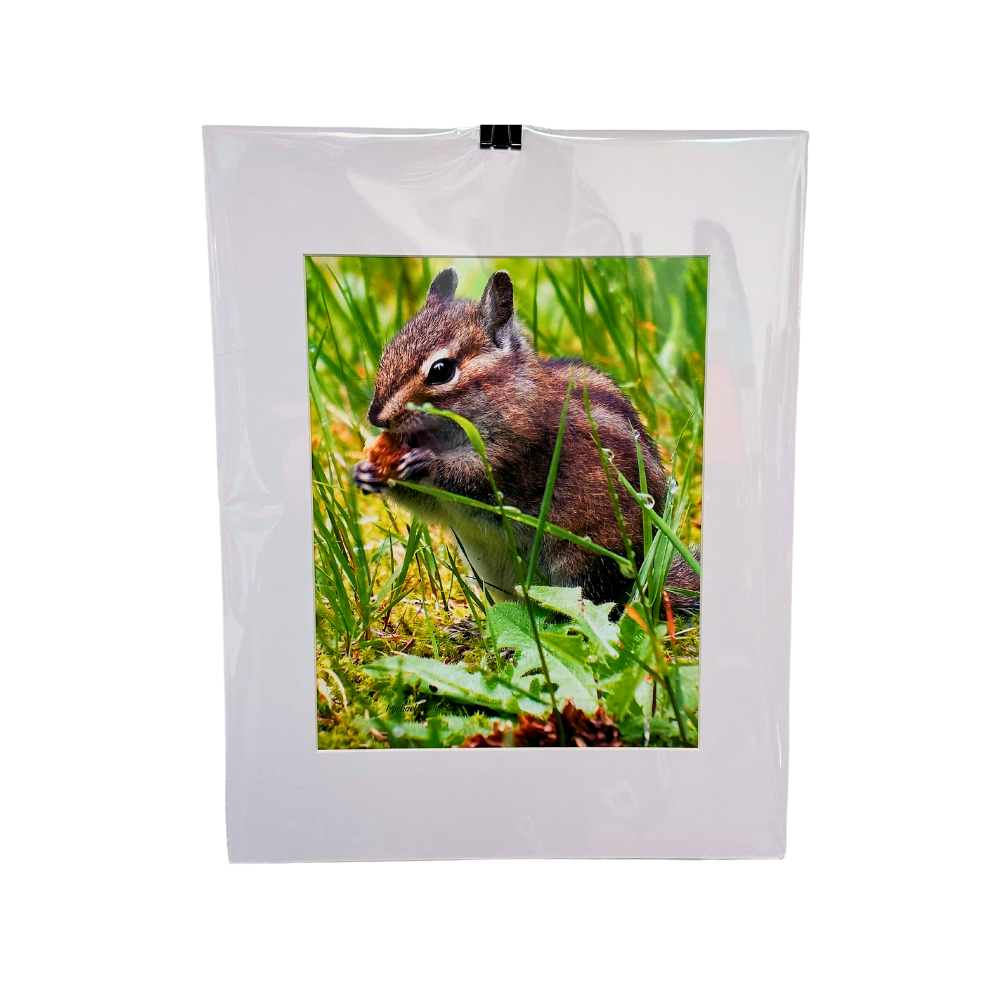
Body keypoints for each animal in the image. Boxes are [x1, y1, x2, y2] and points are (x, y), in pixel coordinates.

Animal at [352, 267, 700, 611]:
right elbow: (428, 504)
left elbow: (475, 479)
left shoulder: (517, 454)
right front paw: (365, 473)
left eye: (441, 370)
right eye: (386, 353)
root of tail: (652, 578)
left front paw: (426, 463)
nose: (376, 417)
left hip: (585, 558)